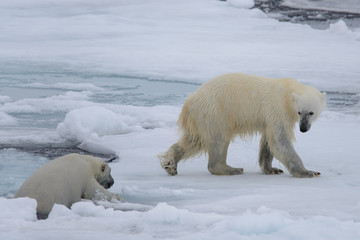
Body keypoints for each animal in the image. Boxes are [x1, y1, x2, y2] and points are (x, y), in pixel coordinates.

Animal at [160, 73, 326, 178]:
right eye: (300, 112)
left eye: (311, 112)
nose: (303, 128)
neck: (287, 93)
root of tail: (189, 102)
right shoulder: (277, 110)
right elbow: (280, 142)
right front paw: (309, 172)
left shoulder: (269, 118)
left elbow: (268, 142)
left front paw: (271, 169)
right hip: (215, 113)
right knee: (219, 141)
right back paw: (231, 169)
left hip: (202, 119)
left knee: (195, 141)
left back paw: (170, 163)